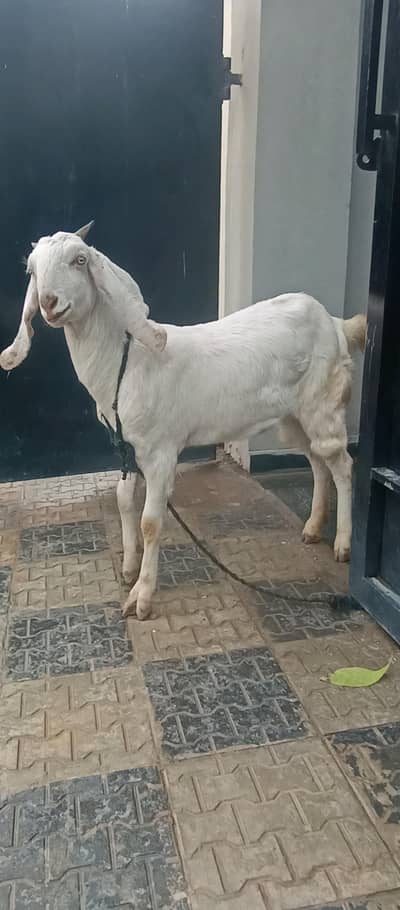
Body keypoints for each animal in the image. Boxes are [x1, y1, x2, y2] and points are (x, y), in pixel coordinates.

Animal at [0, 224, 366, 619]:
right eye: (32, 269)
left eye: (80, 260)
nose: (49, 302)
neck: (128, 364)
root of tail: (334, 323)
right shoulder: (126, 449)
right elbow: (123, 500)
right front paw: (128, 569)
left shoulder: (160, 452)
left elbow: (150, 521)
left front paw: (142, 598)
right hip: (293, 416)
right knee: (316, 461)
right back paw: (313, 527)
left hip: (322, 402)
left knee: (342, 465)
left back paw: (343, 544)